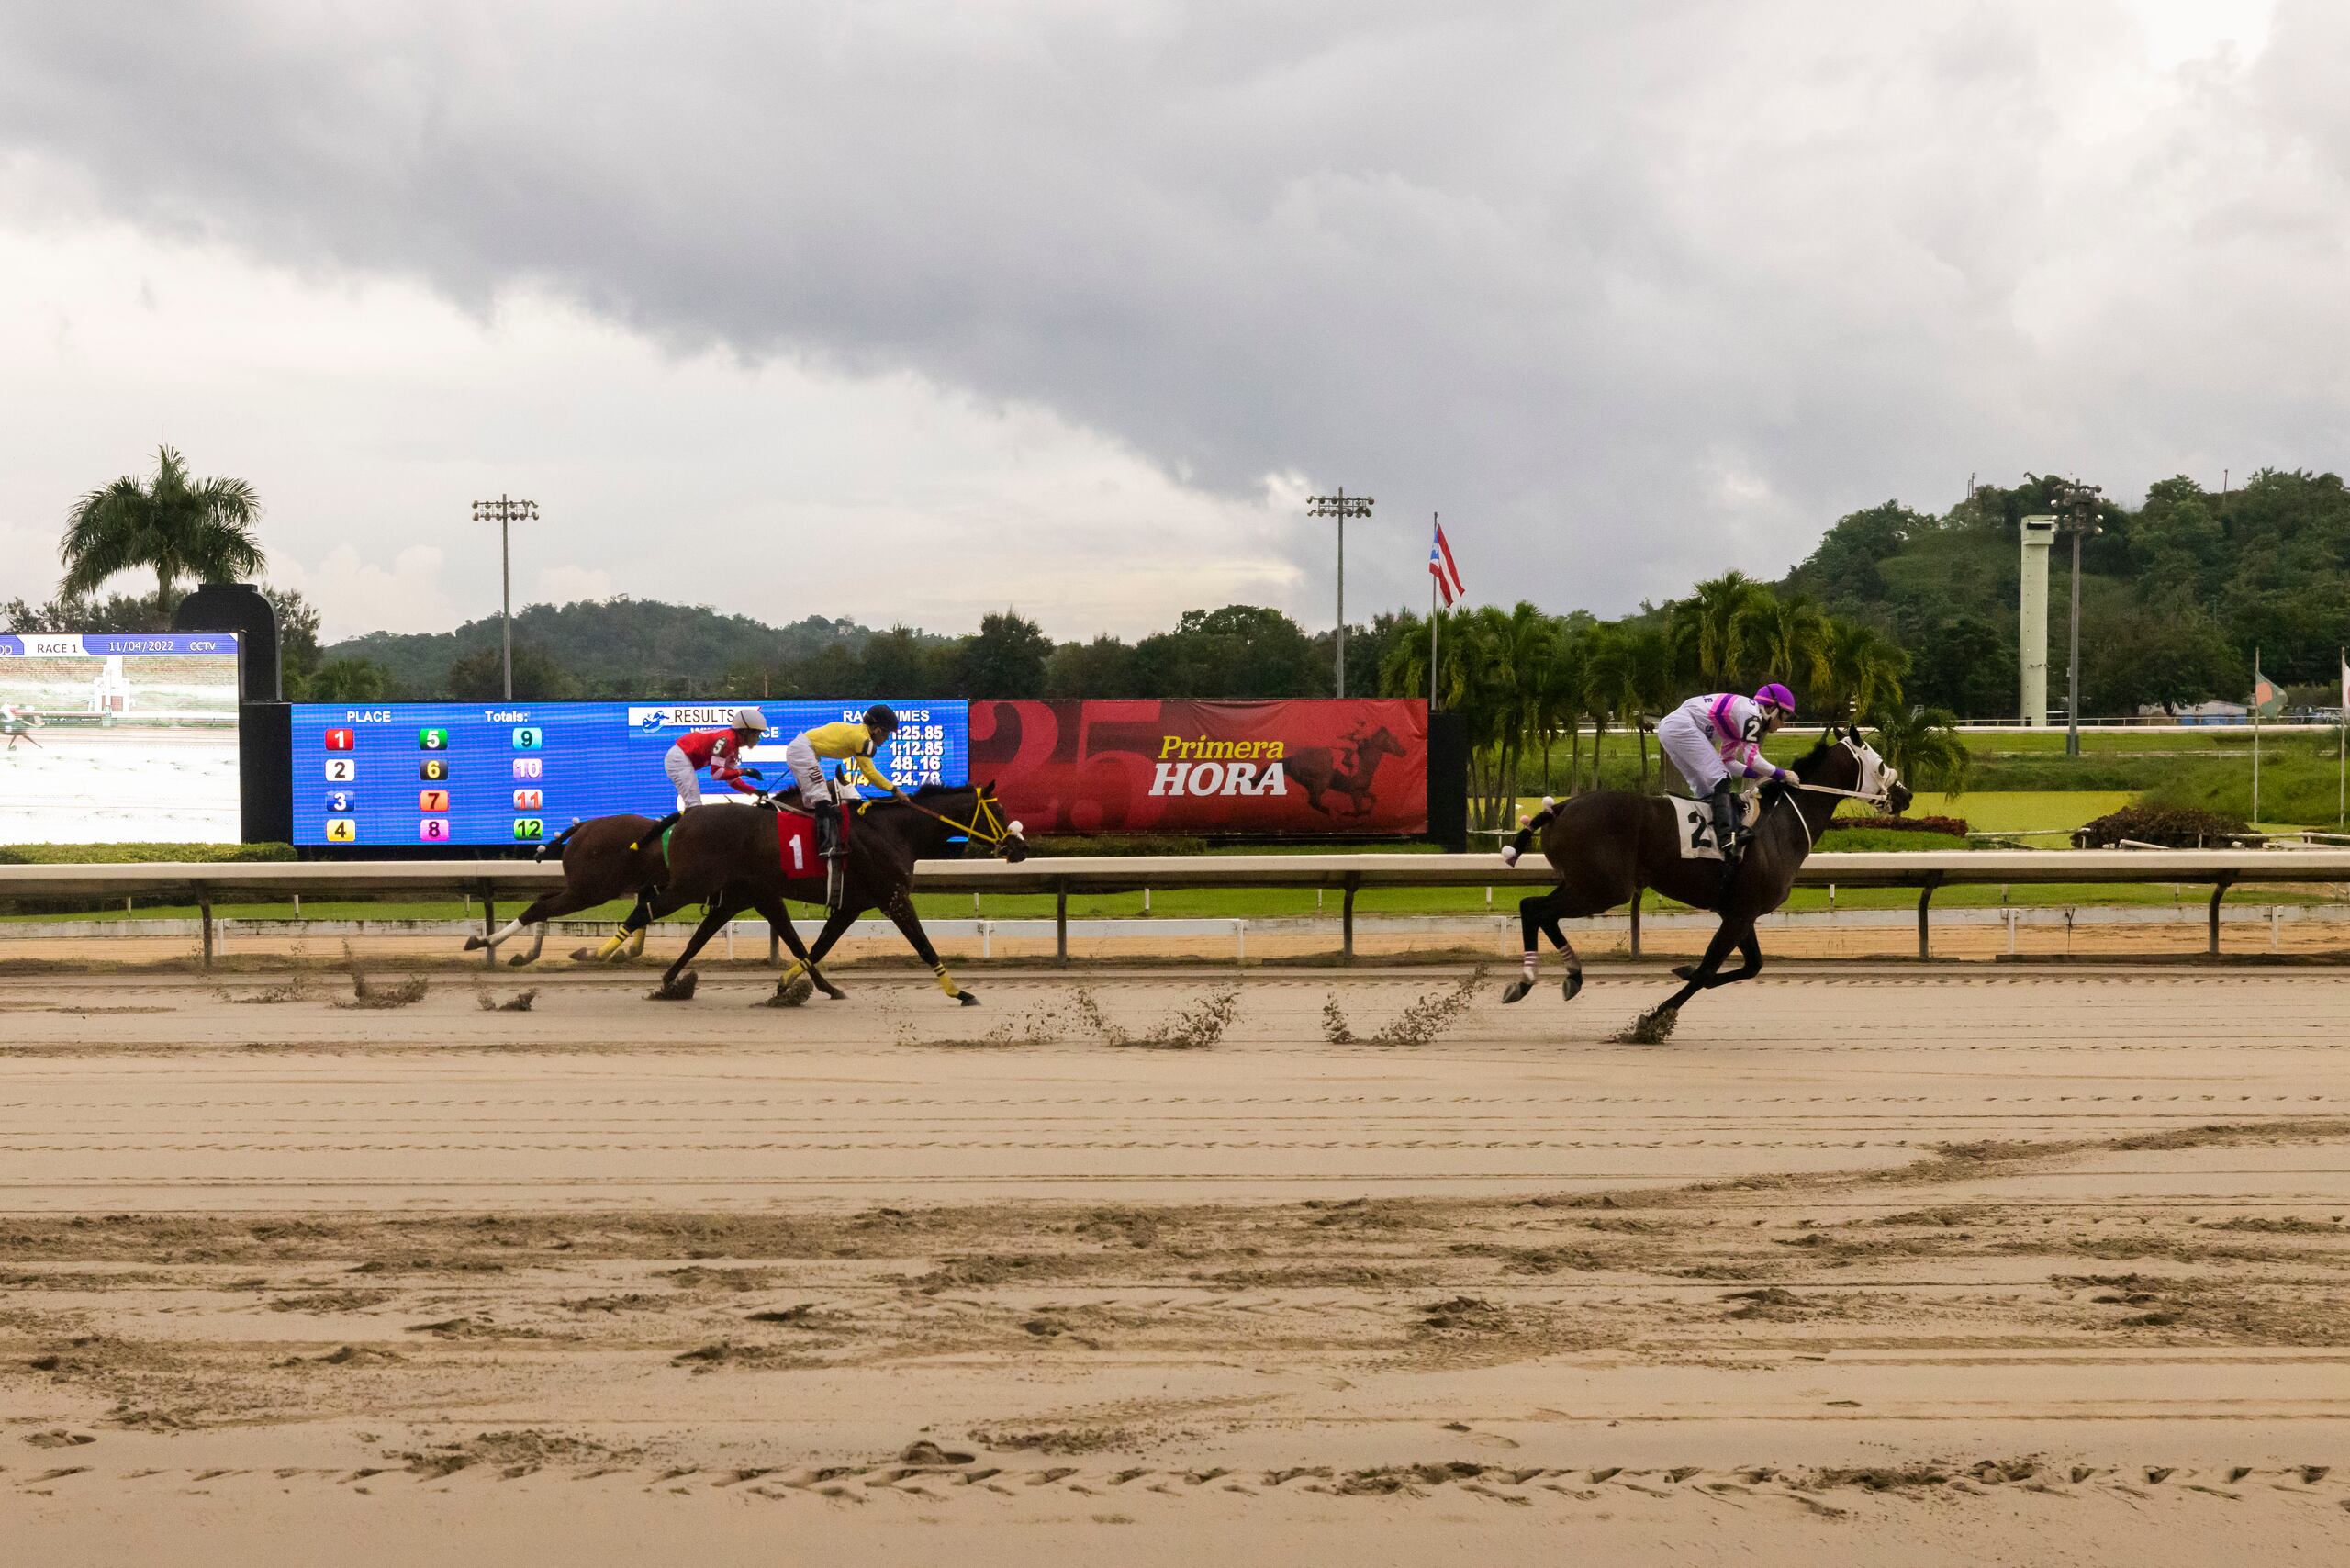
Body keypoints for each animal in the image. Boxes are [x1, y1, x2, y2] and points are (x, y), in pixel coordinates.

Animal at [1504, 723, 1908, 1020]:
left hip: (1580, 882)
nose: (1904, 795)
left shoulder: (1740, 911)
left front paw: (1679, 976)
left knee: (1533, 908)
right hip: (1602, 888)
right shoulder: (1740, 913)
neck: (1780, 825)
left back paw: (1564, 976)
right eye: (1881, 764)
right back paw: (1531, 980)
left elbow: (1751, 966)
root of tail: (1559, 808)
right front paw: (1654, 1021)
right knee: (1536, 909)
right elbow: (1708, 969)